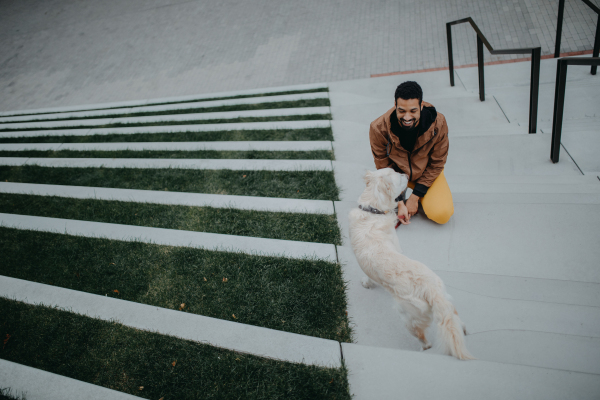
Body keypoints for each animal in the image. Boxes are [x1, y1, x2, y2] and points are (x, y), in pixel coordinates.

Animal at [346, 167, 474, 360]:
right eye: (398, 177)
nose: (406, 174)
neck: (373, 211)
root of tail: (432, 292)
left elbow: (368, 277)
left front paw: (366, 283)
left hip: (408, 318)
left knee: (425, 341)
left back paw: (423, 349)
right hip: (444, 296)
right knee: (455, 318)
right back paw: (463, 329)